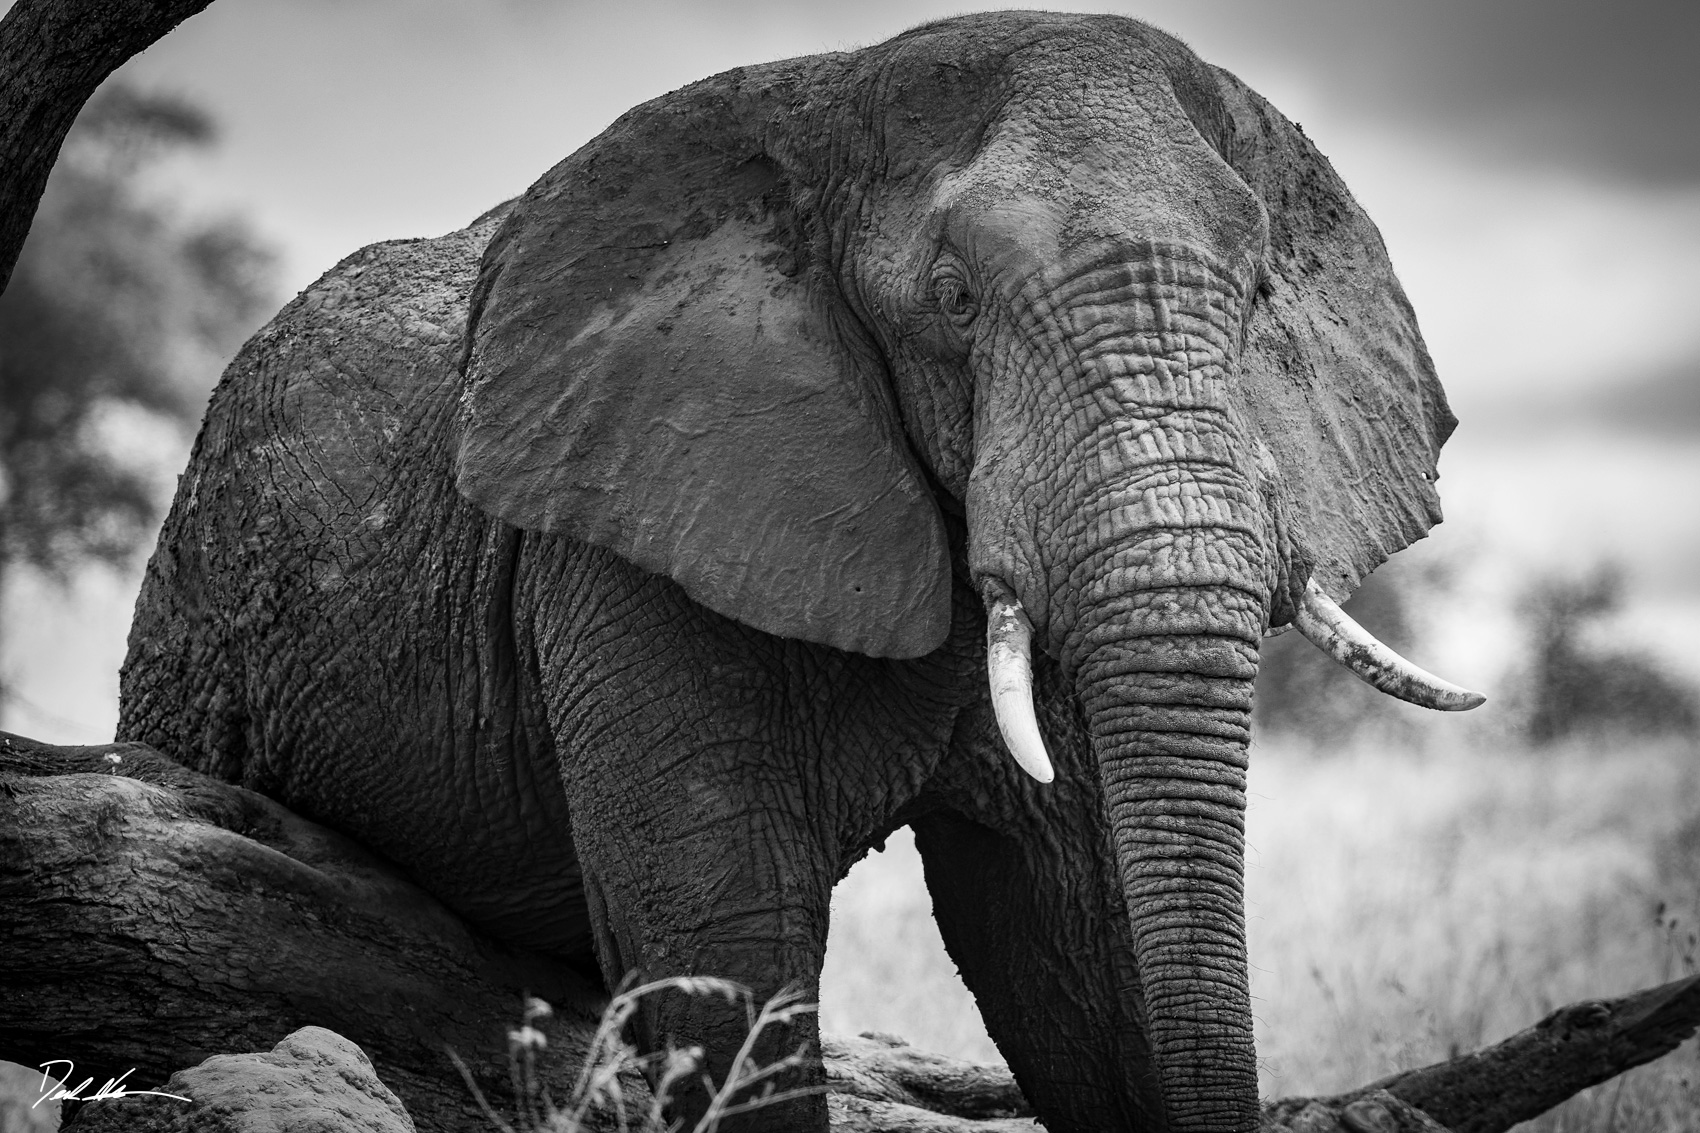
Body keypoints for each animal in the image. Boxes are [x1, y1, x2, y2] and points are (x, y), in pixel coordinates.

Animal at [119, 11, 1482, 1129]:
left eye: (1255, 296)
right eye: (952, 298)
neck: (823, 105)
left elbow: (1083, 949)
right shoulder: (622, 524)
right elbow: (726, 936)